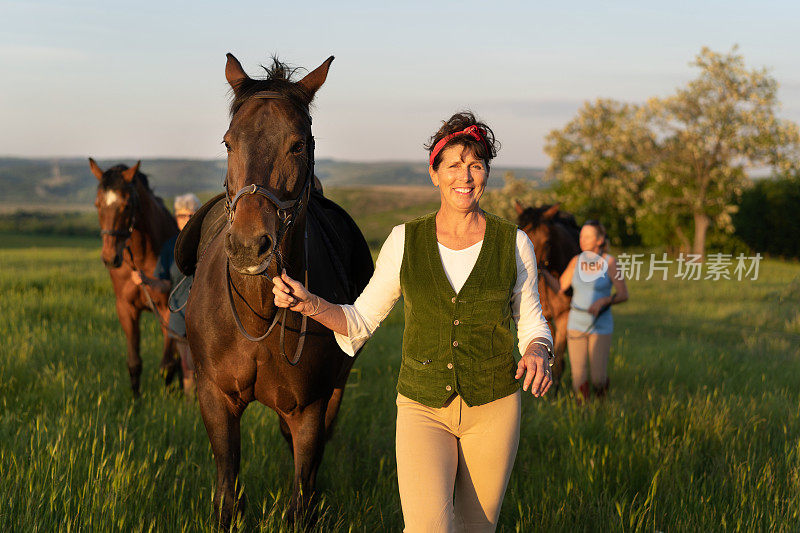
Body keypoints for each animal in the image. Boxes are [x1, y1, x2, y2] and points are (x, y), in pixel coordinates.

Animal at [89, 160, 181, 396]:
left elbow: (166, 366)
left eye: (127, 205)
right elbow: (134, 363)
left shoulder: (168, 311)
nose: (110, 258)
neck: (142, 258)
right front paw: (137, 402)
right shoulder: (126, 308)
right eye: (97, 204)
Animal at [184, 54, 376, 528]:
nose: (249, 245)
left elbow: (300, 502)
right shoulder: (215, 400)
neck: (259, 315)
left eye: (298, 145)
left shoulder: (309, 408)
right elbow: (228, 496)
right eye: (228, 143)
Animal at [516, 200, 580, 390]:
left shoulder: (564, 315)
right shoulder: (547, 317)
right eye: (525, 234)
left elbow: (558, 357)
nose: (533, 275)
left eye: (547, 242)